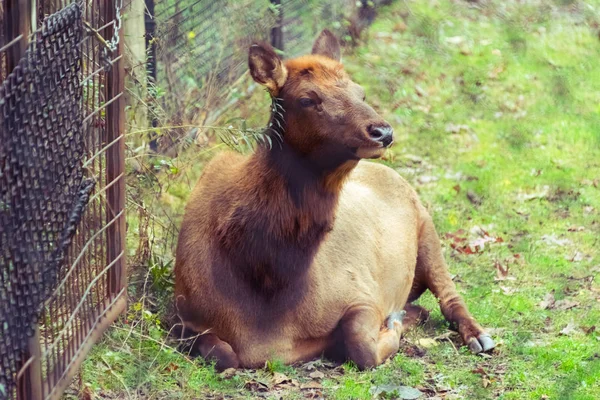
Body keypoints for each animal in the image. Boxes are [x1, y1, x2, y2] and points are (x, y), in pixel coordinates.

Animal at [172, 29, 492, 370]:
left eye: (360, 92)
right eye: (307, 99)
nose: (383, 132)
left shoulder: (362, 292)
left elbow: (360, 342)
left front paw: (394, 323)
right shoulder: (185, 318)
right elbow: (223, 353)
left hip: (426, 226)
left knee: (450, 295)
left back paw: (478, 336)